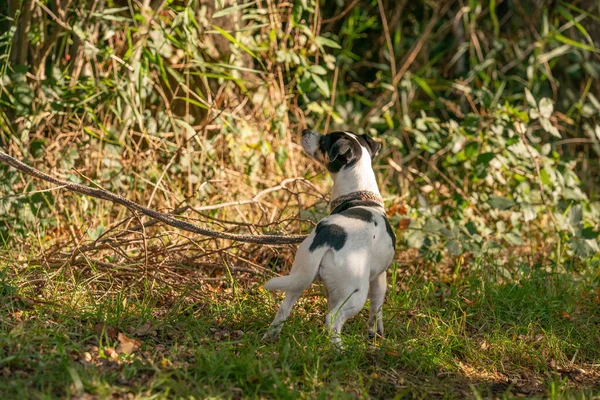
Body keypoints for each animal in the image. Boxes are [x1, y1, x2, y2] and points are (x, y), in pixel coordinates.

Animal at [262, 130, 394, 346]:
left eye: (323, 140)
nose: (305, 131)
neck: (361, 197)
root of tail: (327, 236)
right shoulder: (379, 277)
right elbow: (377, 309)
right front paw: (375, 334)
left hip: (299, 278)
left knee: (284, 309)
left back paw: (271, 337)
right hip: (356, 292)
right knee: (332, 320)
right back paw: (339, 349)